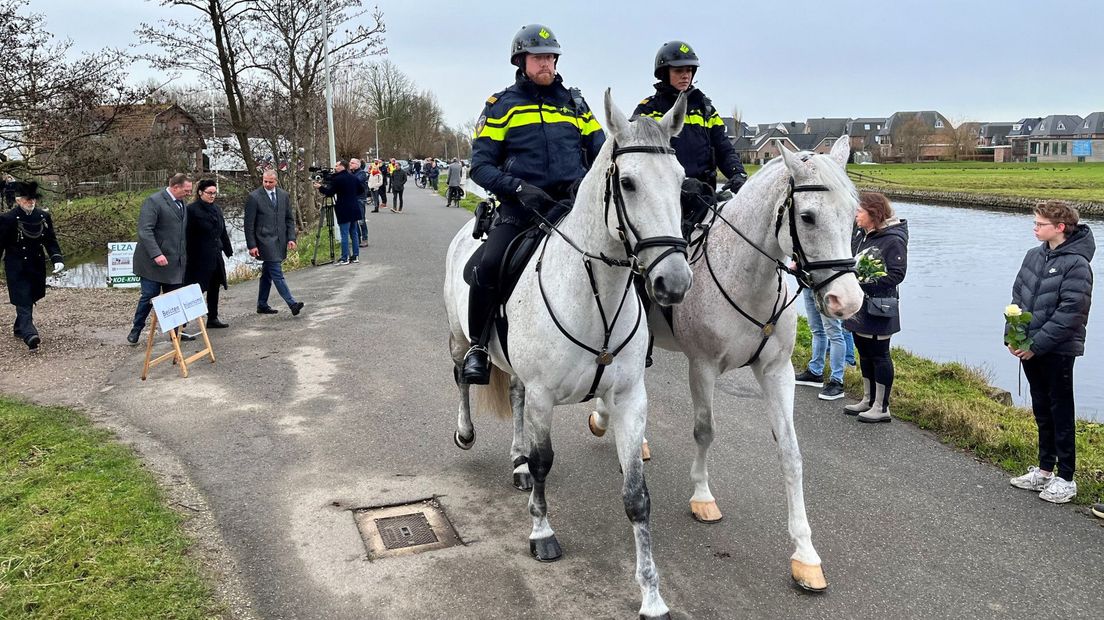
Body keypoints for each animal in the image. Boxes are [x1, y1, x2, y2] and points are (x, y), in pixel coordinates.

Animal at [441, 90, 688, 617]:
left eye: (681, 182)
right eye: (628, 183)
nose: (673, 282)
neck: (596, 296)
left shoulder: (629, 399)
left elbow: (637, 496)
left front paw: (651, 594)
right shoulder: (544, 396)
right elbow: (543, 463)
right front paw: (541, 532)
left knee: (511, 396)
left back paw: (513, 461)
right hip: (458, 338)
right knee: (461, 377)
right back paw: (467, 432)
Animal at [591, 137, 865, 591]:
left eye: (853, 215)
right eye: (807, 217)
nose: (848, 300)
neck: (746, 275)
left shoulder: (777, 373)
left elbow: (790, 453)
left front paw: (805, 554)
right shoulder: (702, 367)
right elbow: (705, 431)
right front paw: (702, 497)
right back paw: (604, 421)